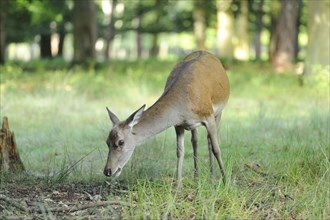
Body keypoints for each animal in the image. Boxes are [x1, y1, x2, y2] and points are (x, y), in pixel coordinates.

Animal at [103, 50, 229, 183]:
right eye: (107, 141)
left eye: (121, 142)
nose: (107, 171)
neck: (183, 106)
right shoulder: (178, 125)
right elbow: (180, 152)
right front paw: (178, 185)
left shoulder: (208, 115)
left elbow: (216, 149)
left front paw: (225, 181)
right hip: (194, 125)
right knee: (195, 140)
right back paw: (196, 177)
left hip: (219, 111)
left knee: (209, 141)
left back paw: (212, 176)